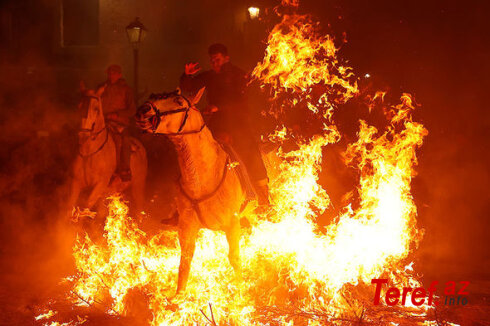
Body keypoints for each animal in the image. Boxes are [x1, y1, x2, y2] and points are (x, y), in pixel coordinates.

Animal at [68, 87, 147, 222]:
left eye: (96, 108)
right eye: (79, 105)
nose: (83, 135)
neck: (89, 153)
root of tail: (140, 145)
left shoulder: (100, 184)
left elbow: (85, 206)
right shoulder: (76, 183)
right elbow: (70, 208)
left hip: (138, 186)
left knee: (139, 210)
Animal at [135, 89, 247, 292]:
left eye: (179, 101)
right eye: (154, 97)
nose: (143, 110)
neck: (203, 179)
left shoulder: (232, 224)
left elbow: (234, 259)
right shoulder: (187, 228)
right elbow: (184, 264)